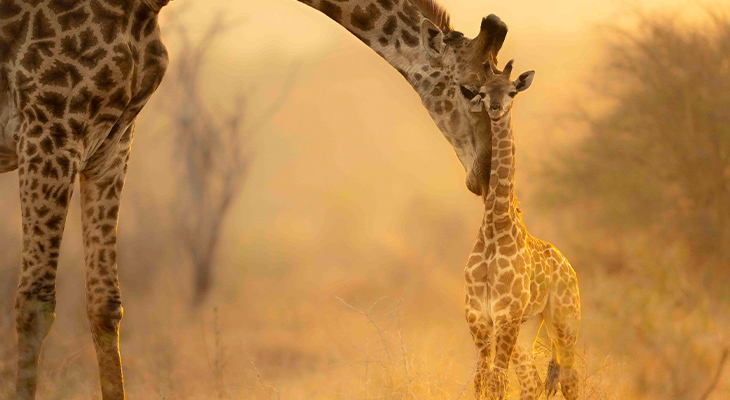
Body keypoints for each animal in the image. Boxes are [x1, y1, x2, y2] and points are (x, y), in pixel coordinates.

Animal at [462, 60, 581, 400]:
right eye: (483, 92)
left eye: (512, 90)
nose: (496, 108)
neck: (495, 227)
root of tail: (569, 267)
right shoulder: (478, 316)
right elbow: (482, 380)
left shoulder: (506, 314)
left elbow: (497, 381)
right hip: (529, 326)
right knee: (532, 385)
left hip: (564, 319)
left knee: (570, 378)